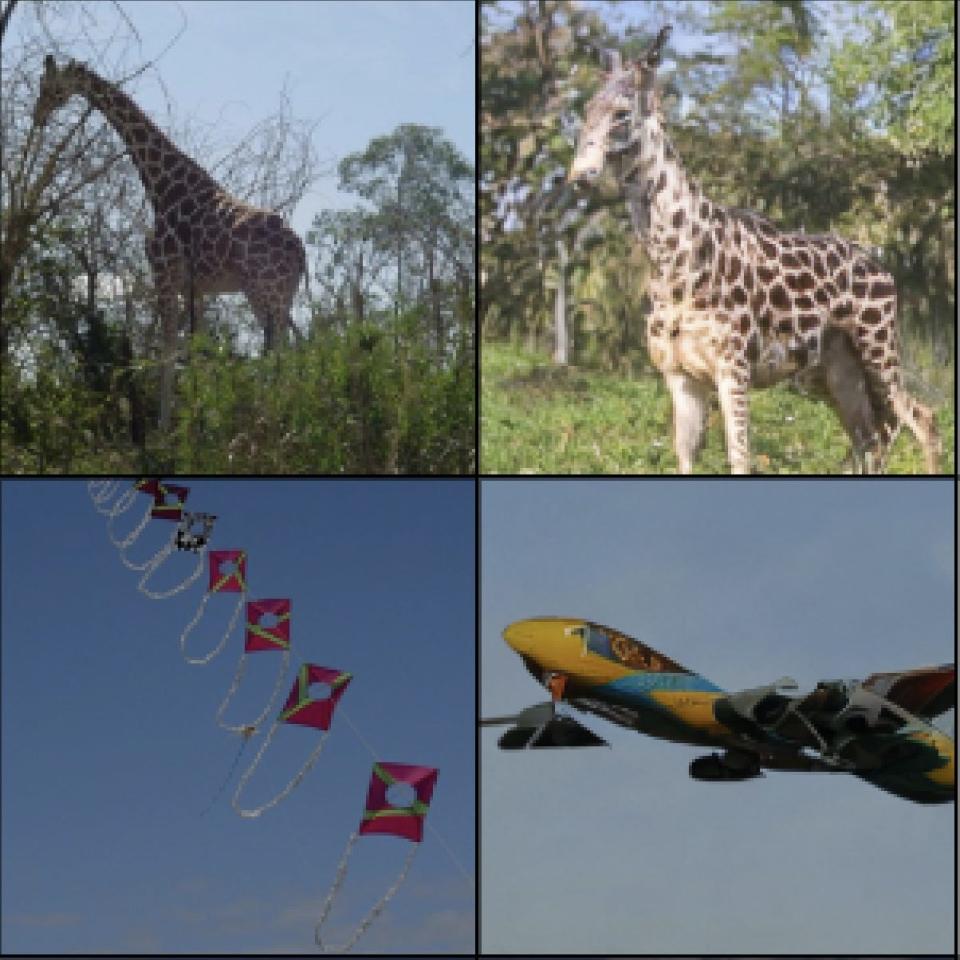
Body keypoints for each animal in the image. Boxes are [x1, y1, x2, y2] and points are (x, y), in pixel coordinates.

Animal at [35, 54, 306, 426]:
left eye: (52, 86)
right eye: (41, 84)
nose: (37, 116)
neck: (162, 187)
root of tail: (301, 250)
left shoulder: (164, 274)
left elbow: (167, 348)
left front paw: (165, 428)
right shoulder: (199, 287)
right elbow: (198, 349)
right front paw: (200, 420)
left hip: (264, 290)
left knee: (280, 350)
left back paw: (273, 417)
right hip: (280, 294)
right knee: (287, 347)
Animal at [568, 22, 936, 472]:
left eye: (622, 114)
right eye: (587, 110)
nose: (579, 177)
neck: (674, 261)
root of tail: (884, 271)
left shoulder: (733, 367)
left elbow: (740, 458)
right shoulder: (679, 375)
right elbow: (686, 459)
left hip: (878, 350)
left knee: (920, 419)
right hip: (829, 371)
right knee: (871, 435)